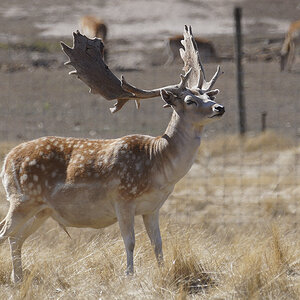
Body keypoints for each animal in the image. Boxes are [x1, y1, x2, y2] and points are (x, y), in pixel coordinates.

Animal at [0, 25, 225, 284]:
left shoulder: (153, 207)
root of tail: (6, 160)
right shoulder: (123, 198)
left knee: (16, 238)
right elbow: (130, 242)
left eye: (211, 96)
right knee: (4, 233)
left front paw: (162, 271)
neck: (158, 164)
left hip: (42, 210)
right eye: (190, 100)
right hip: (22, 199)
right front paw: (129, 275)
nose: (220, 108)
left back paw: (18, 278)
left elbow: (157, 243)